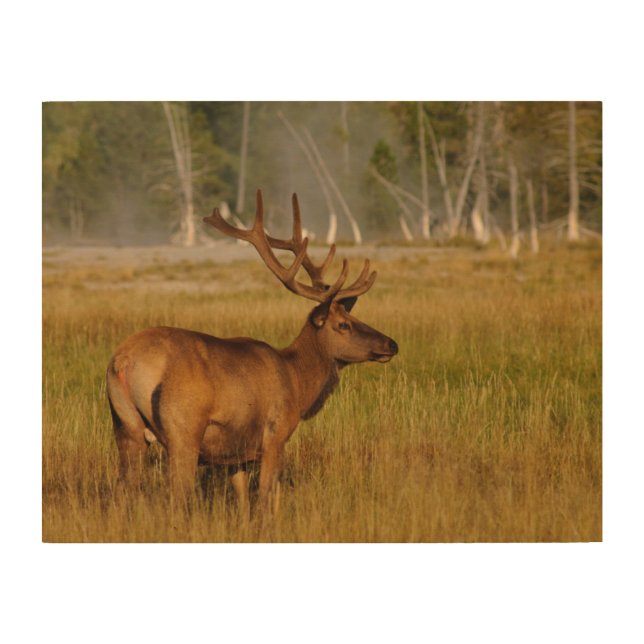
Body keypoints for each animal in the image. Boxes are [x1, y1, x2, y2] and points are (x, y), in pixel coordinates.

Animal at [106, 189, 398, 516]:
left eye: (354, 317)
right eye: (344, 324)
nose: (391, 344)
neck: (297, 382)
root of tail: (123, 361)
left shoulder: (238, 454)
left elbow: (243, 501)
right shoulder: (275, 435)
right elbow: (265, 497)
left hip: (125, 426)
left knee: (121, 491)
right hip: (183, 429)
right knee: (176, 494)